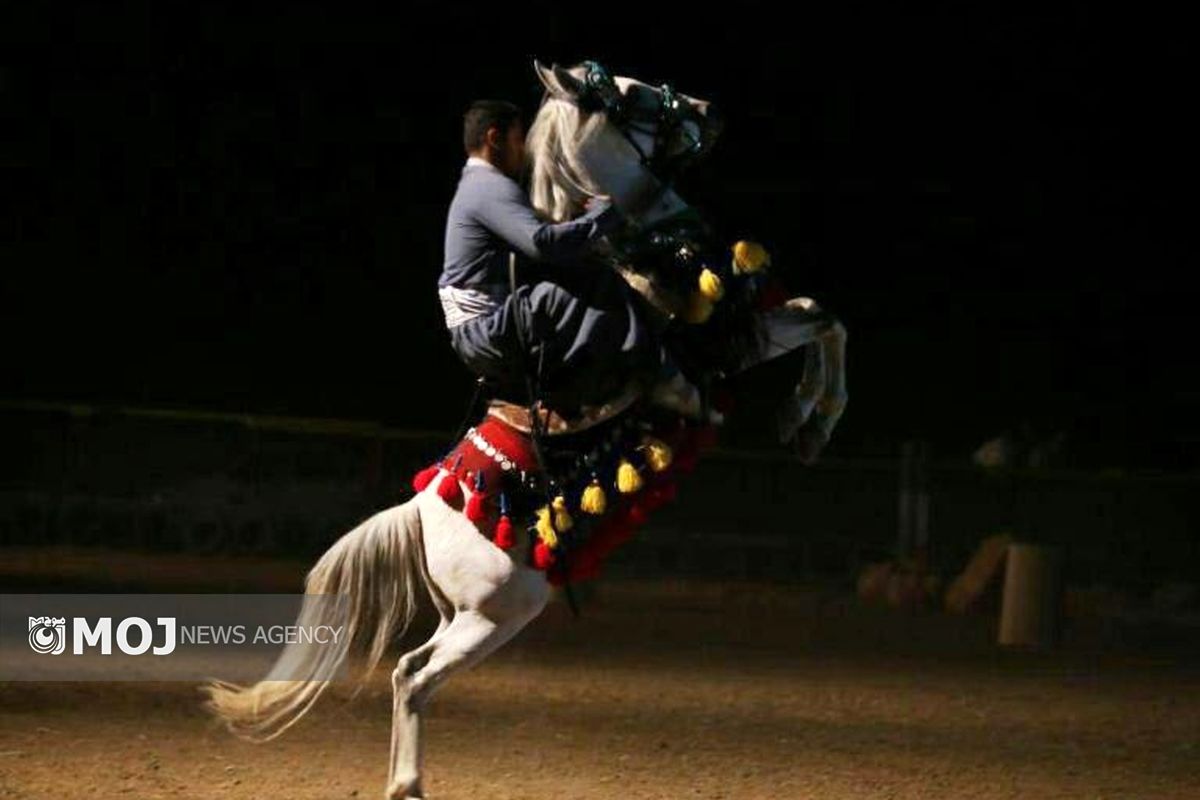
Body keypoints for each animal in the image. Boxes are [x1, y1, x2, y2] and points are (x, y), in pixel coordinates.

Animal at [204, 57, 844, 800]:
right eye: (626, 92)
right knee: (416, 677)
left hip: (465, 615)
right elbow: (821, 321)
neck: (635, 265)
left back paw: (405, 782)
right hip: (496, 615)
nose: (708, 110)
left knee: (408, 671)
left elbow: (820, 315)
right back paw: (408, 783)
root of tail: (424, 511)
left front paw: (808, 424)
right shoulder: (721, 350)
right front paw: (807, 420)